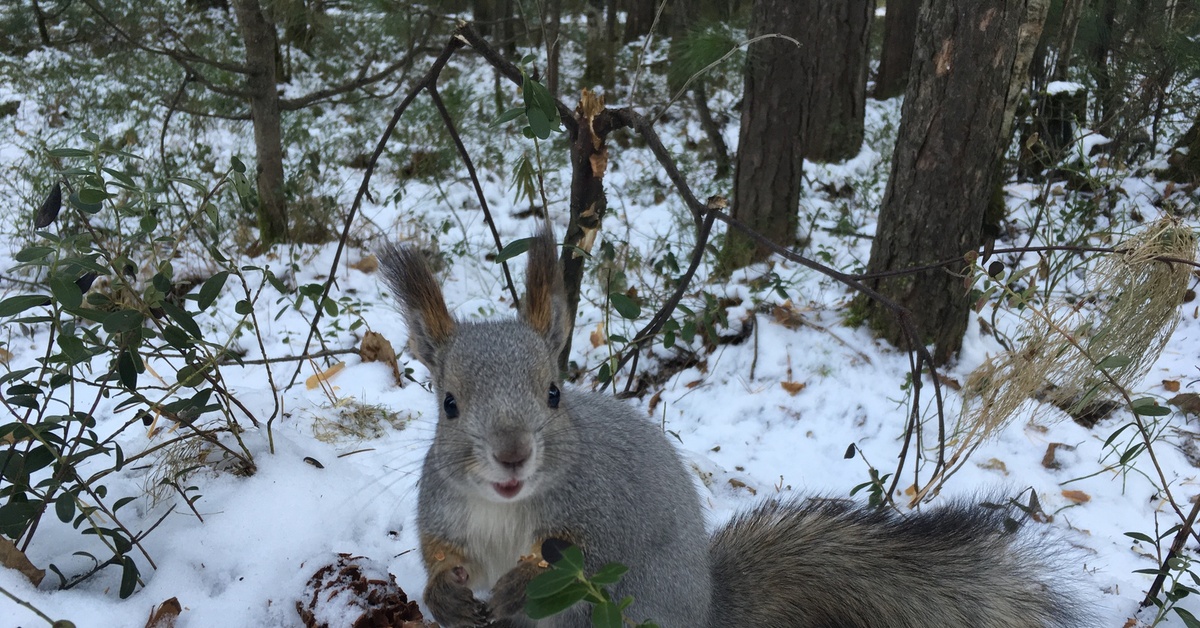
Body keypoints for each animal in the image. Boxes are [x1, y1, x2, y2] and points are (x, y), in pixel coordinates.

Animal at [381, 230, 1089, 628]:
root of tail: (707, 612)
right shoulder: (446, 510)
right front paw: (444, 594)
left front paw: (522, 582)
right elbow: (442, 552)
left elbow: (586, 559)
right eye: (448, 405)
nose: (512, 455)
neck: (506, 508)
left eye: (554, 394)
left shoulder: (601, 508)